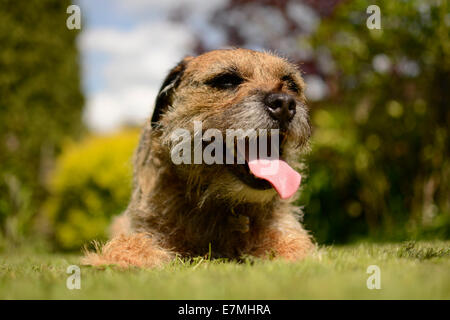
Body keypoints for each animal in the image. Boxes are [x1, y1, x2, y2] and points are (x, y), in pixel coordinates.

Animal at [84, 47, 316, 268]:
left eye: (291, 85)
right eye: (226, 81)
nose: (285, 103)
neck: (216, 200)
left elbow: (292, 245)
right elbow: (135, 242)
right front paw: (119, 258)